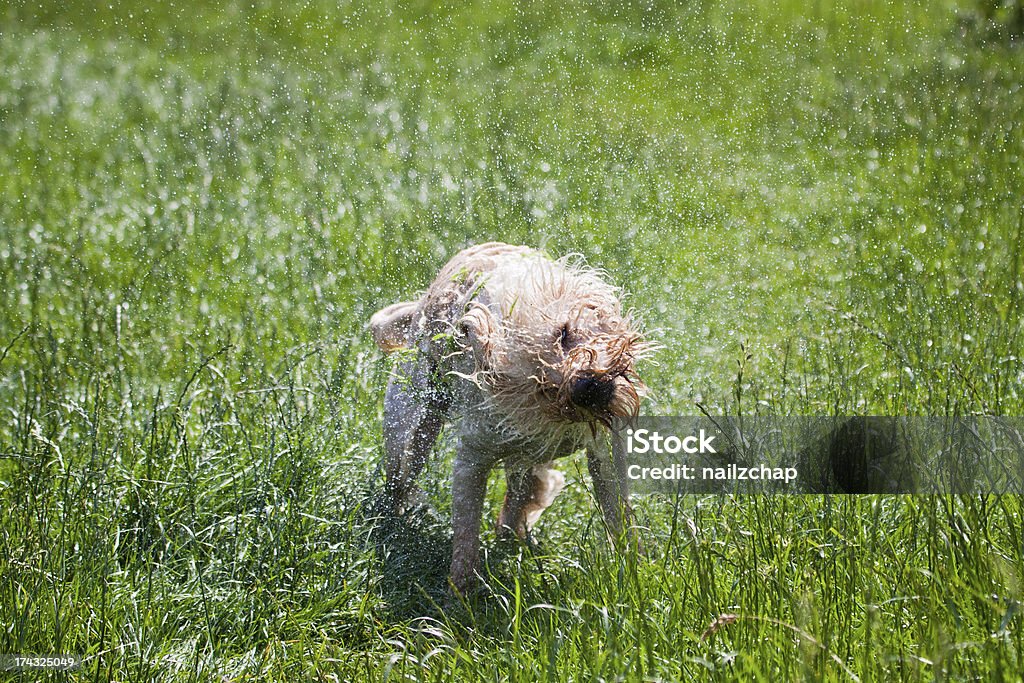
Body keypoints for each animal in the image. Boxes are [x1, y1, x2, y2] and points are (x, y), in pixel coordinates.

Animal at [372, 241, 651, 593]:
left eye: (564, 333)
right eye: (544, 385)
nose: (589, 388)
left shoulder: (603, 450)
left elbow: (619, 517)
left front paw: (637, 575)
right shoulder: (472, 459)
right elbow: (465, 541)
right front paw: (459, 600)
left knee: (519, 492)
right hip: (412, 430)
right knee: (402, 477)